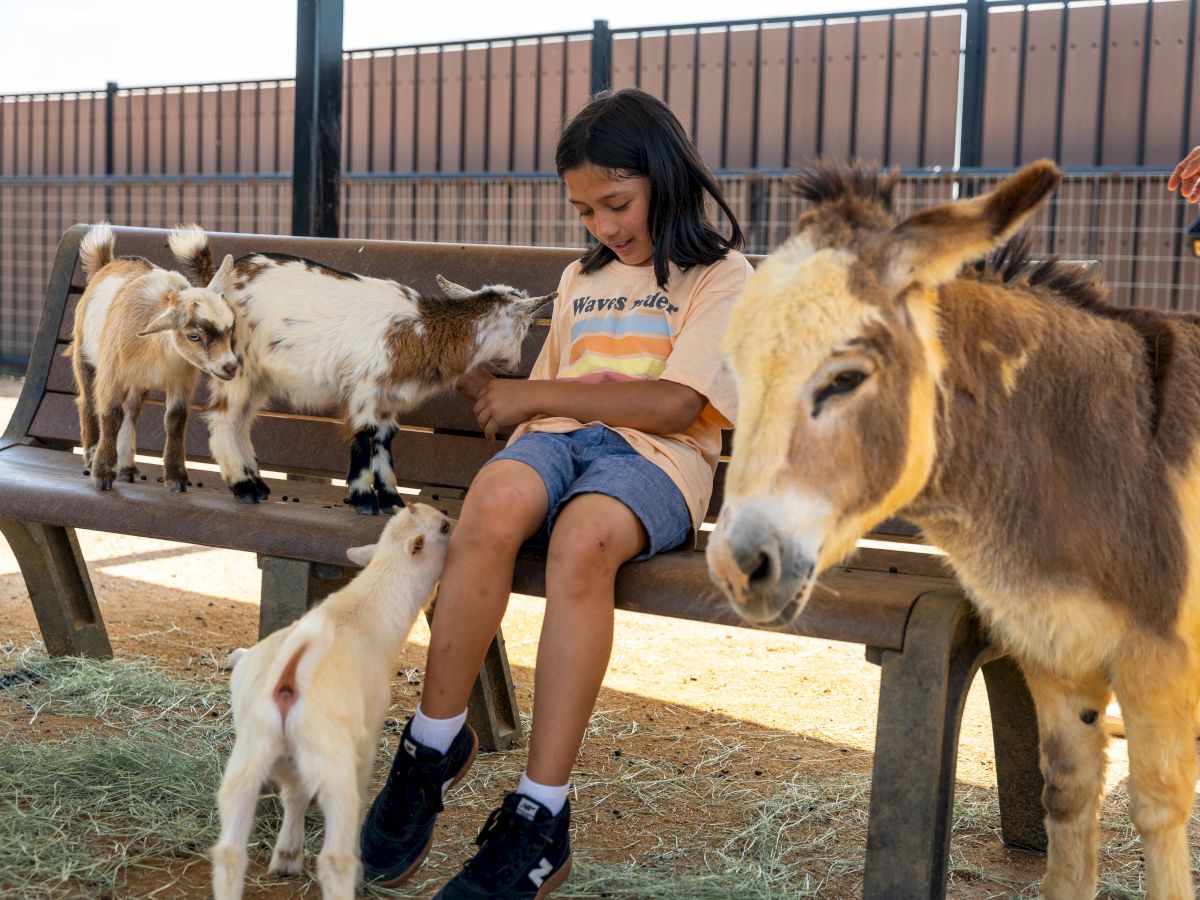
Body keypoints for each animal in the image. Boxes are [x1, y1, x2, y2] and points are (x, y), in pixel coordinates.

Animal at [71, 223, 238, 492]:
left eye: (231, 328)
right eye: (193, 335)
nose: (230, 367)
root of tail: (107, 264)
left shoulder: (181, 380)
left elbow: (176, 420)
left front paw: (176, 477)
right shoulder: (111, 373)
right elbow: (110, 415)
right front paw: (102, 474)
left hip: (138, 381)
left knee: (131, 411)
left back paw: (126, 467)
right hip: (83, 355)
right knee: (88, 401)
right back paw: (91, 455)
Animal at [169, 226, 554, 514]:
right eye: (526, 327)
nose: (515, 365)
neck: (419, 329)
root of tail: (217, 282)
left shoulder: (389, 397)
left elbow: (384, 440)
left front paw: (391, 499)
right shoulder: (365, 388)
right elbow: (365, 436)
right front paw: (364, 499)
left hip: (258, 376)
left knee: (242, 421)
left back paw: (257, 483)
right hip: (236, 366)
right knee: (224, 419)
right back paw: (242, 486)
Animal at [211, 503, 454, 900]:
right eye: (445, 527)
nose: (457, 523)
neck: (364, 609)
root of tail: (289, 675)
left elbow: (294, 794)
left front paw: (287, 855)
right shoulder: (367, 734)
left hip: (250, 751)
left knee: (230, 851)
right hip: (329, 755)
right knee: (334, 857)